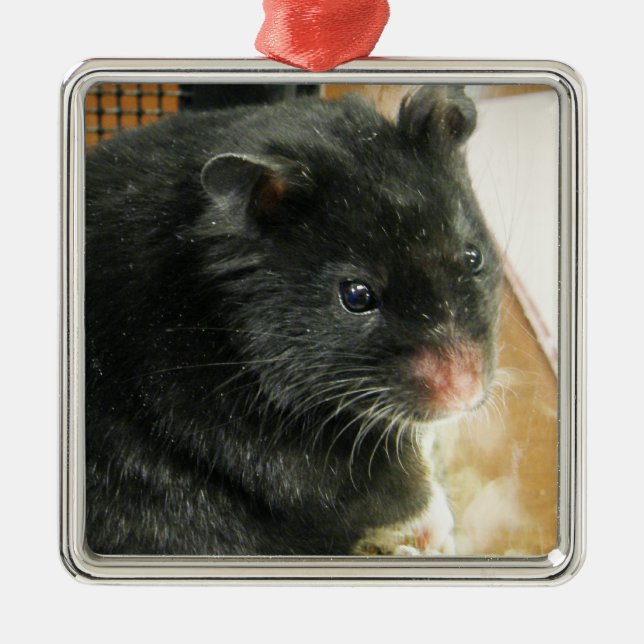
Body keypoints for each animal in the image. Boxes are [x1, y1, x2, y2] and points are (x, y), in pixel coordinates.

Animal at [84, 86, 502, 555]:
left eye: (473, 256)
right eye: (356, 296)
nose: (466, 395)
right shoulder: (290, 457)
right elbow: (401, 491)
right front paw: (434, 530)